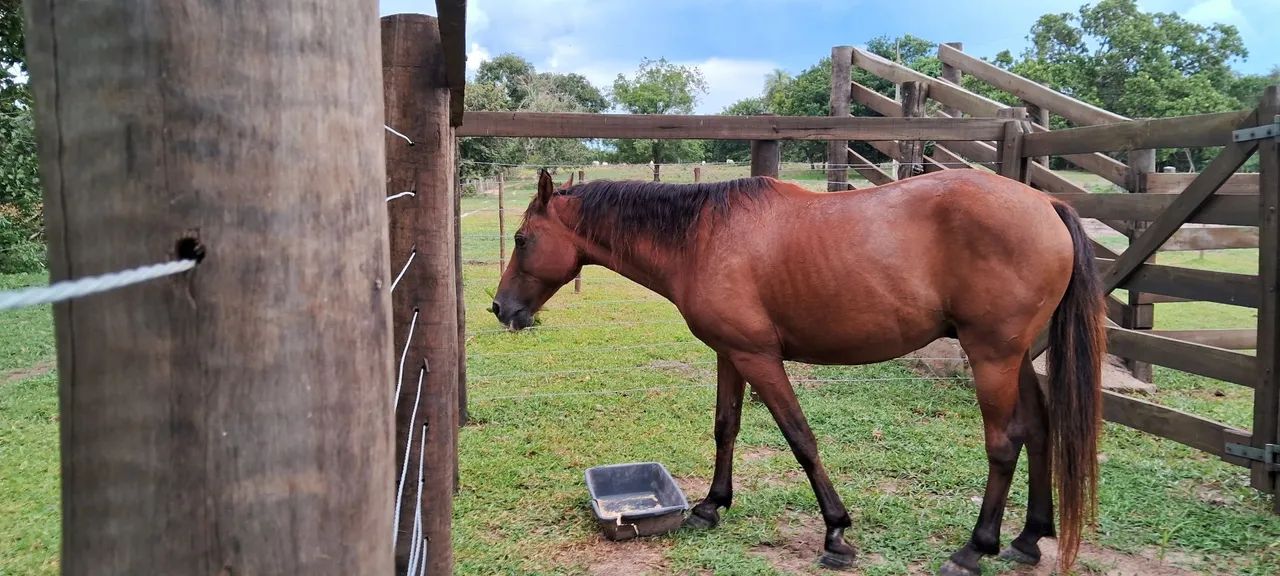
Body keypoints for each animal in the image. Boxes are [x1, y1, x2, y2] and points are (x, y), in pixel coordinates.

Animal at [490, 169, 1104, 576]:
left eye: (522, 239)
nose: (500, 309)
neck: (703, 237)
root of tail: (1047, 202)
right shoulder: (732, 354)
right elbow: (726, 428)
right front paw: (711, 506)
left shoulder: (760, 358)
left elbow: (800, 438)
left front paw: (836, 532)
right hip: (1016, 359)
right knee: (1041, 431)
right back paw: (1029, 538)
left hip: (992, 357)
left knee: (1004, 444)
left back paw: (977, 548)